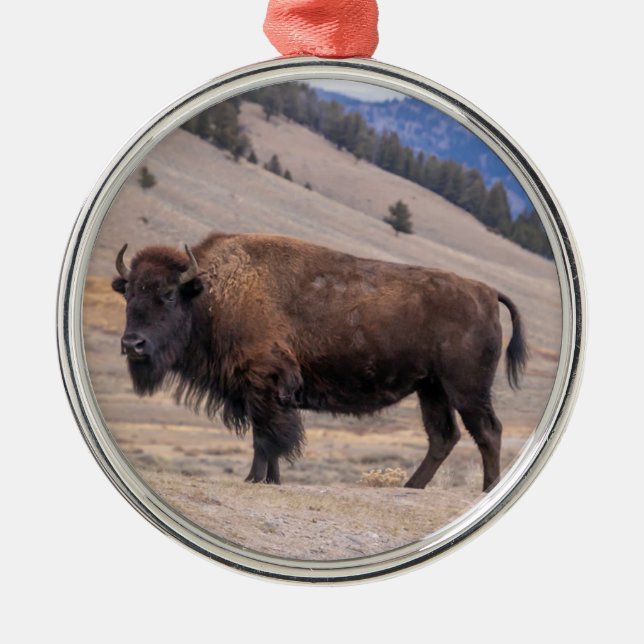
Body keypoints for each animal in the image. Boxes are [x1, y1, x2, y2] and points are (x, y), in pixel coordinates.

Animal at [112, 233, 527, 491]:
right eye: (129, 293)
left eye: (168, 295)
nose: (132, 344)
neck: (212, 294)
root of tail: (486, 292)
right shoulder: (260, 391)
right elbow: (269, 437)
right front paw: (271, 480)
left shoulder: (264, 382)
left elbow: (266, 436)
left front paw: (254, 479)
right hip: (432, 388)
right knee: (444, 436)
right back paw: (412, 486)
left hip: (466, 388)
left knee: (487, 431)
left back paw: (486, 489)